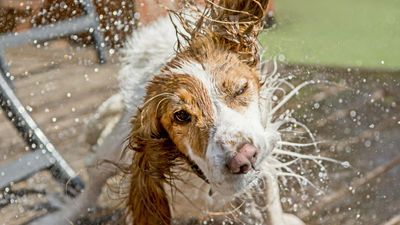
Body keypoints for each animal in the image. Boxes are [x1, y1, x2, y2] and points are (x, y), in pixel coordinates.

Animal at [32, 0, 306, 224]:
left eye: (240, 89)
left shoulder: (266, 156)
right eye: (181, 116)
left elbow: (271, 202)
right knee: (93, 177)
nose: (243, 158)